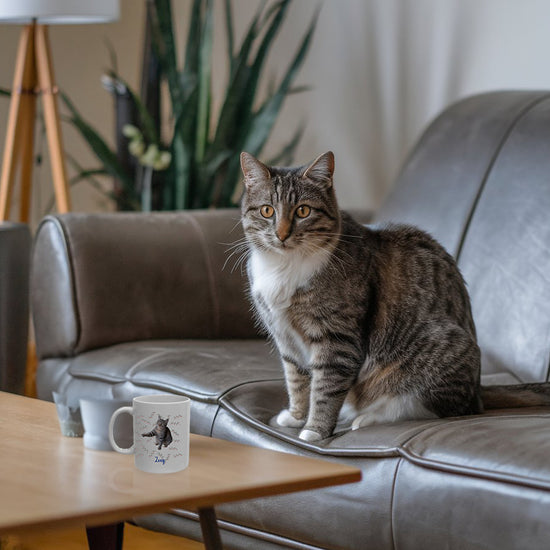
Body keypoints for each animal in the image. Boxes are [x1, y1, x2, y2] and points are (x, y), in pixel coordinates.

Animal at [243, 151, 550, 444]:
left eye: (303, 211)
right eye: (267, 210)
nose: (282, 234)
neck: (284, 267)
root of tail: (479, 390)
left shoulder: (337, 340)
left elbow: (325, 389)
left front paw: (315, 430)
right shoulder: (286, 339)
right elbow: (296, 381)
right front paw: (296, 417)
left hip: (440, 357)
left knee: (430, 406)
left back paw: (369, 418)